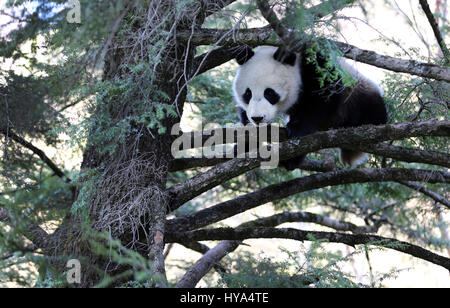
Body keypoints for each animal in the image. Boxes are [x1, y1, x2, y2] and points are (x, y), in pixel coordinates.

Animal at [232, 45, 386, 171]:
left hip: (358, 95)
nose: (257, 118)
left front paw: (297, 129)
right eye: (248, 94)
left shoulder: (318, 67)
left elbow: (323, 99)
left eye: (269, 93)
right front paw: (244, 143)